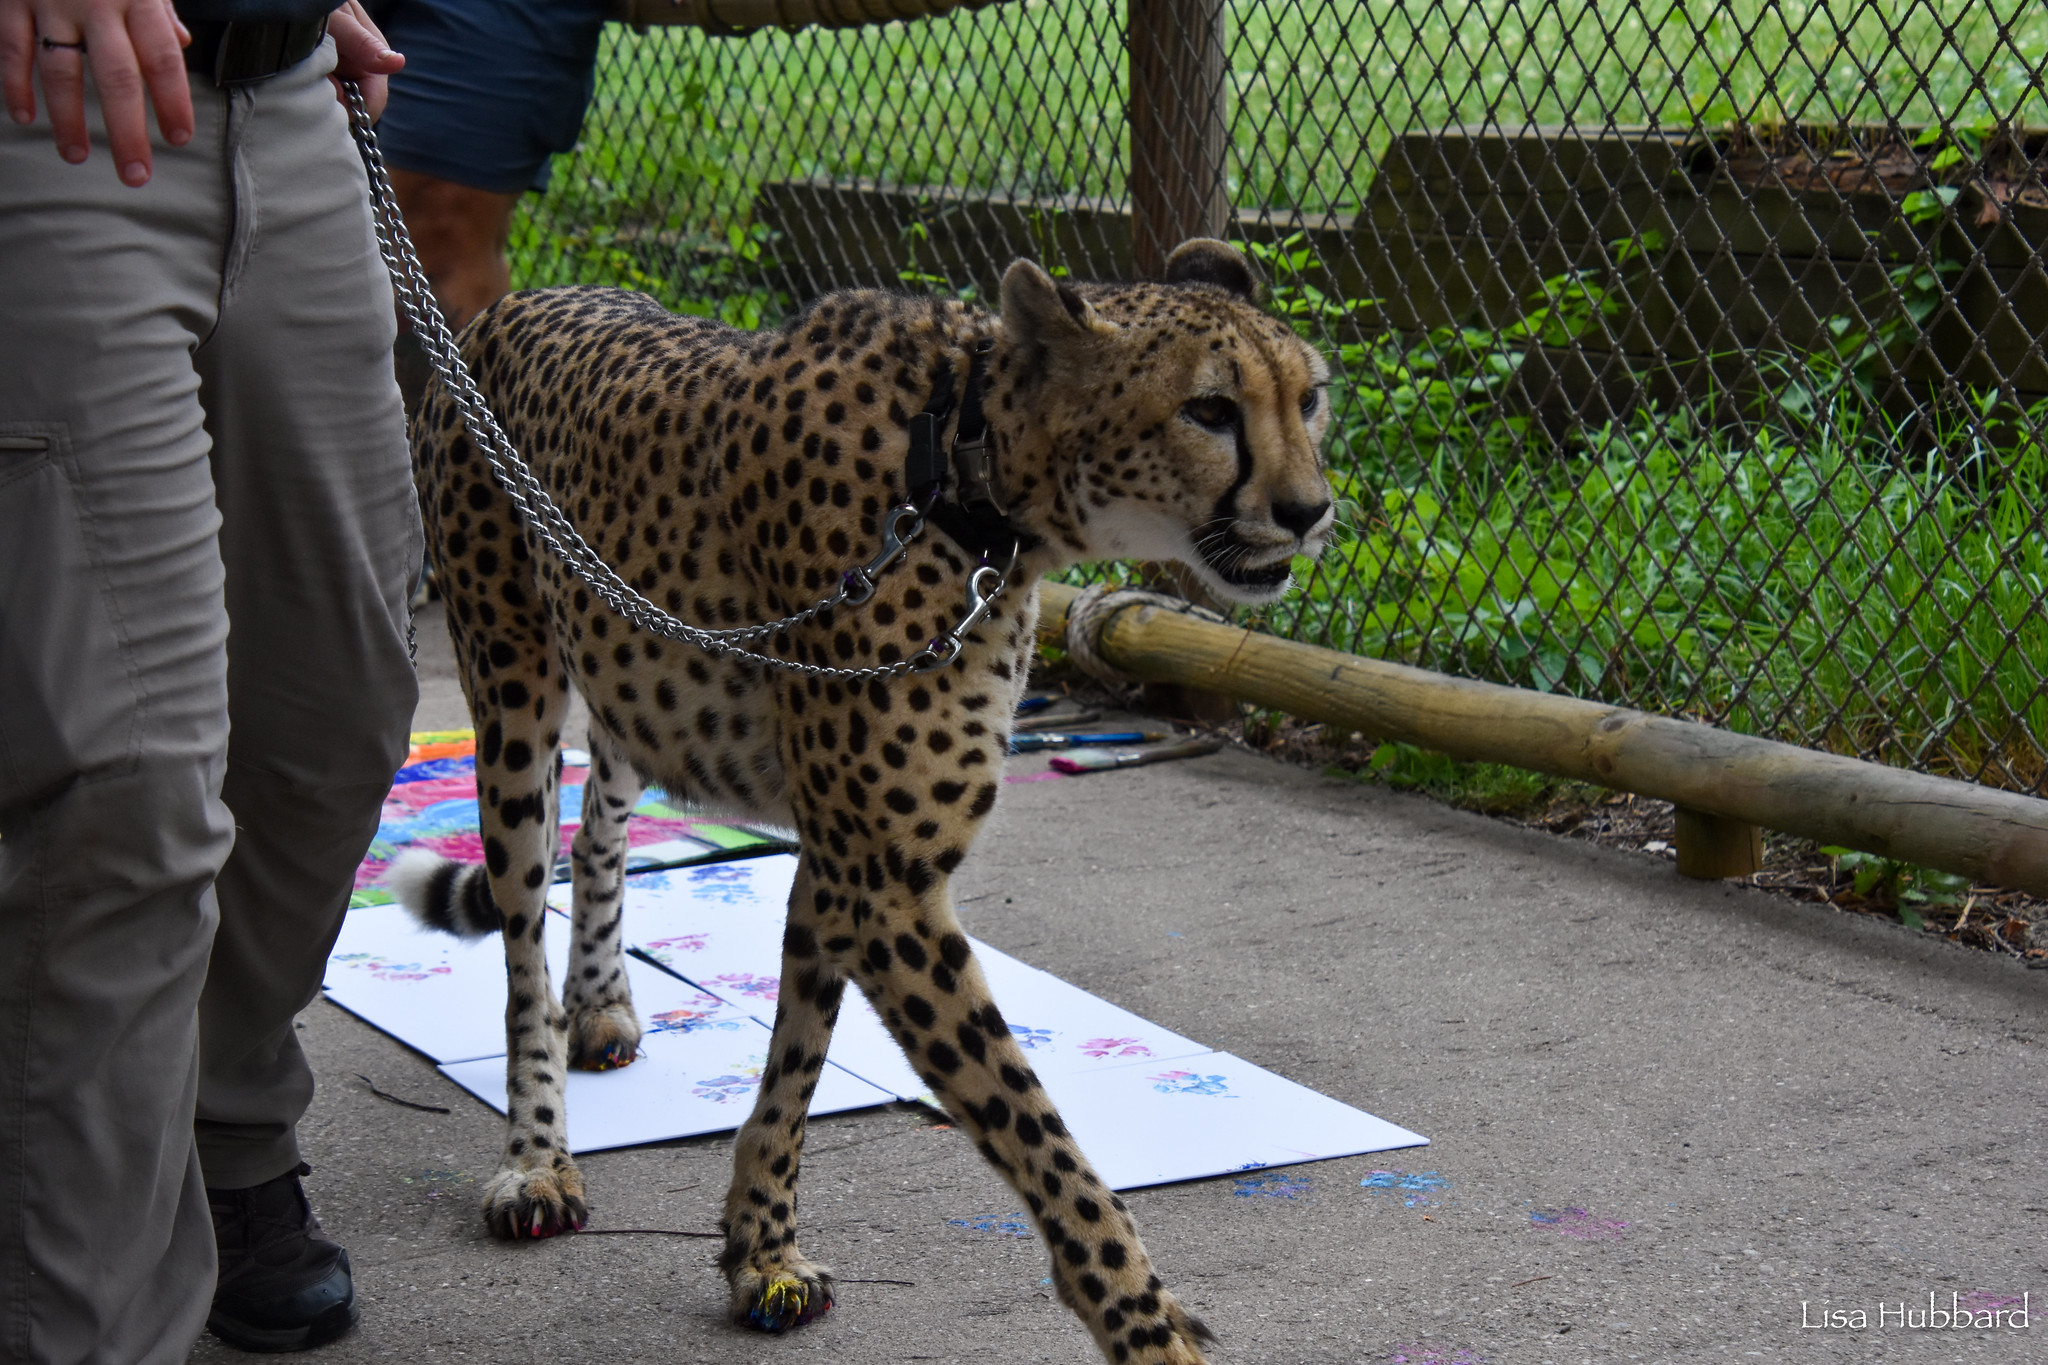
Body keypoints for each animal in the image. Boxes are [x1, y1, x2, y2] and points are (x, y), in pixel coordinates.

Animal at [390, 237, 1334, 1364]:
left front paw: (761, 1246)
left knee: (602, 819)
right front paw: (1143, 1326)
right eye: (1210, 410)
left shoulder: (847, 867)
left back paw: (604, 1001)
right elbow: (1038, 1134)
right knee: (522, 935)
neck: (970, 480)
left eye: (1310, 399)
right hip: (512, 688)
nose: (1310, 511)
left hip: (629, 670)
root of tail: (514, 302)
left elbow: (798, 1053)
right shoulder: (884, 883)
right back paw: (537, 1158)